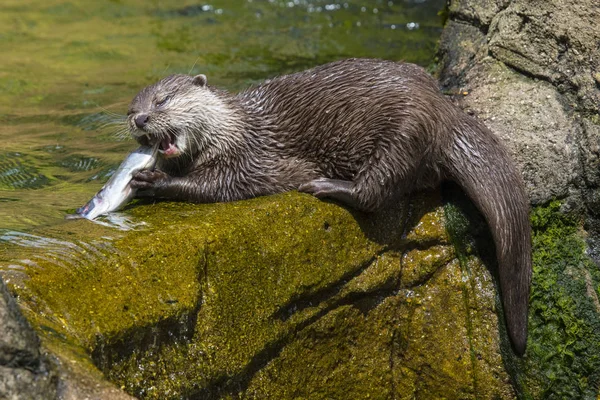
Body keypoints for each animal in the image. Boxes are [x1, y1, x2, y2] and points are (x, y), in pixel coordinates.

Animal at [125, 57, 528, 354]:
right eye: (131, 109)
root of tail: (446, 112)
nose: (141, 119)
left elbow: (222, 184)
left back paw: (326, 186)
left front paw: (153, 181)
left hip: (403, 134)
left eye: (162, 100)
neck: (233, 129)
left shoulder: (252, 160)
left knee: (375, 191)